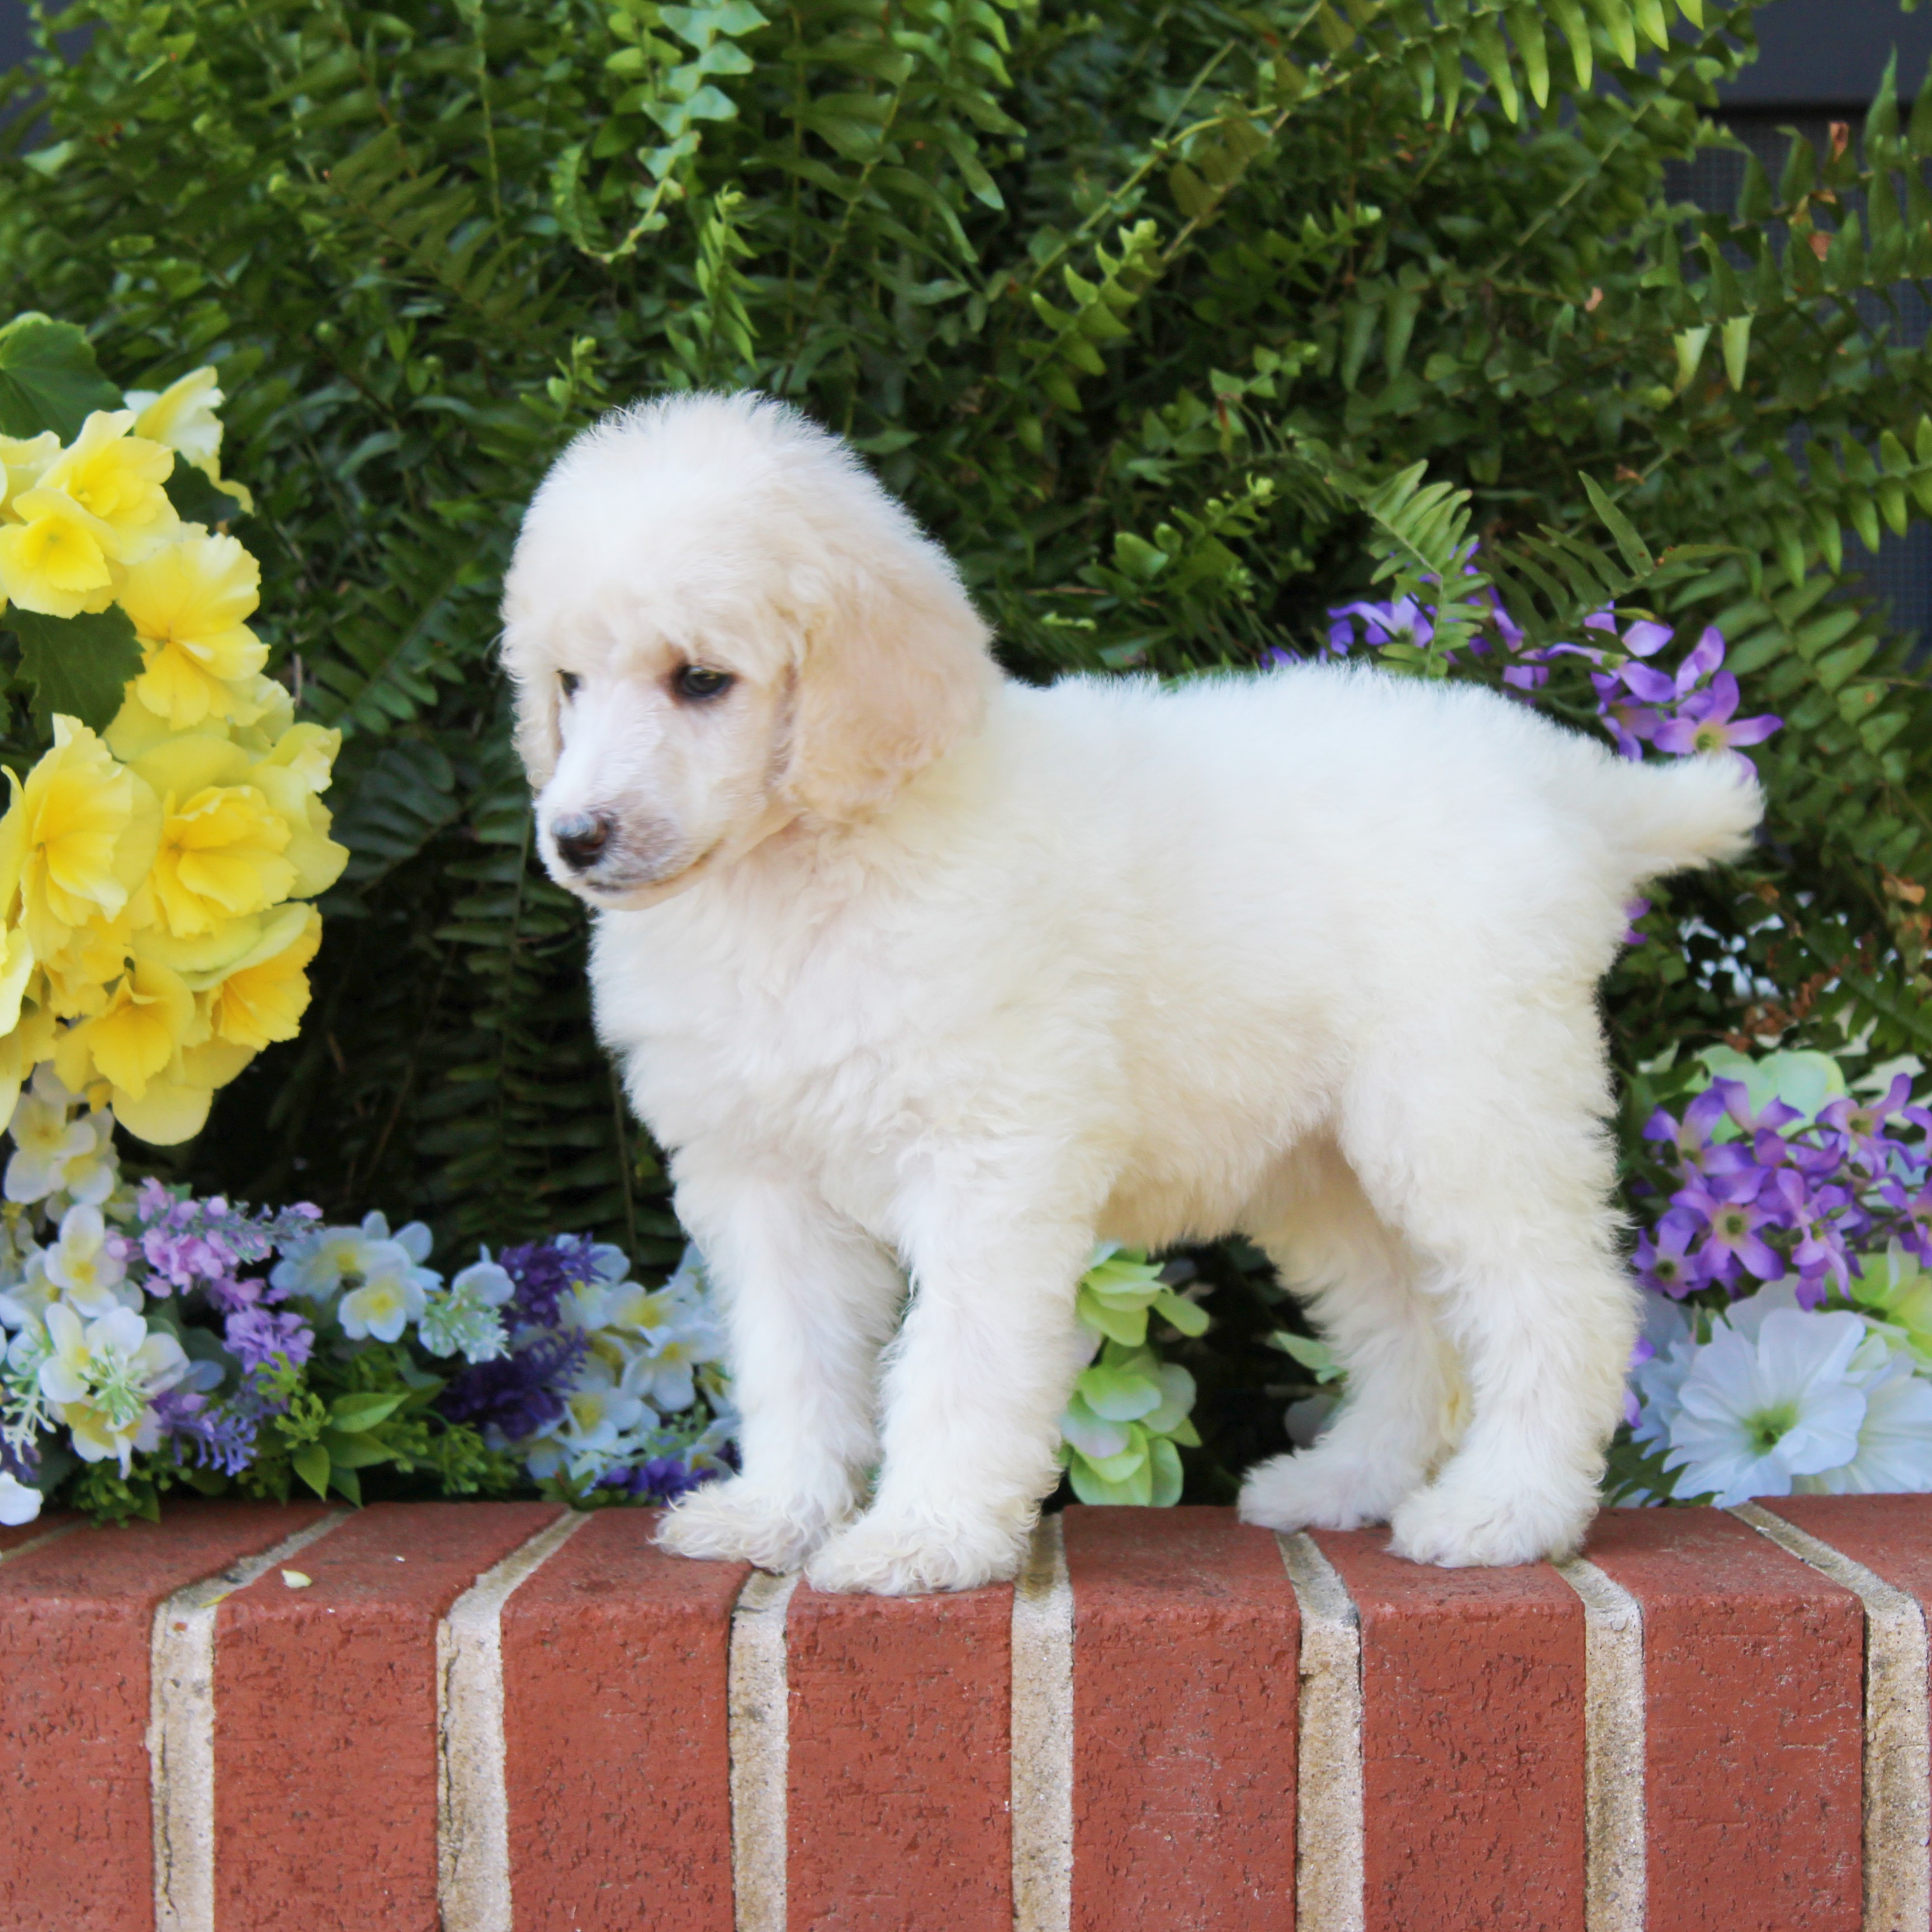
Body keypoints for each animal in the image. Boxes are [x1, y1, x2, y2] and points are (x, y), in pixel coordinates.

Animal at [502, 396, 1769, 1599]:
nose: (575, 838)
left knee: (1563, 1306)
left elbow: (957, 1363)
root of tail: (1566, 785)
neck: (802, 874)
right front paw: (777, 1514)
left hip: (1466, 1109)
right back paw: (1350, 1483)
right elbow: (791, 1362)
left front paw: (924, 1538)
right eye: (570, 683)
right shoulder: (762, 1180)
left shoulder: (989, 1159)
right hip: (1333, 1169)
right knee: (1418, 1331)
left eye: (701, 680)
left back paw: (1506, 1512)